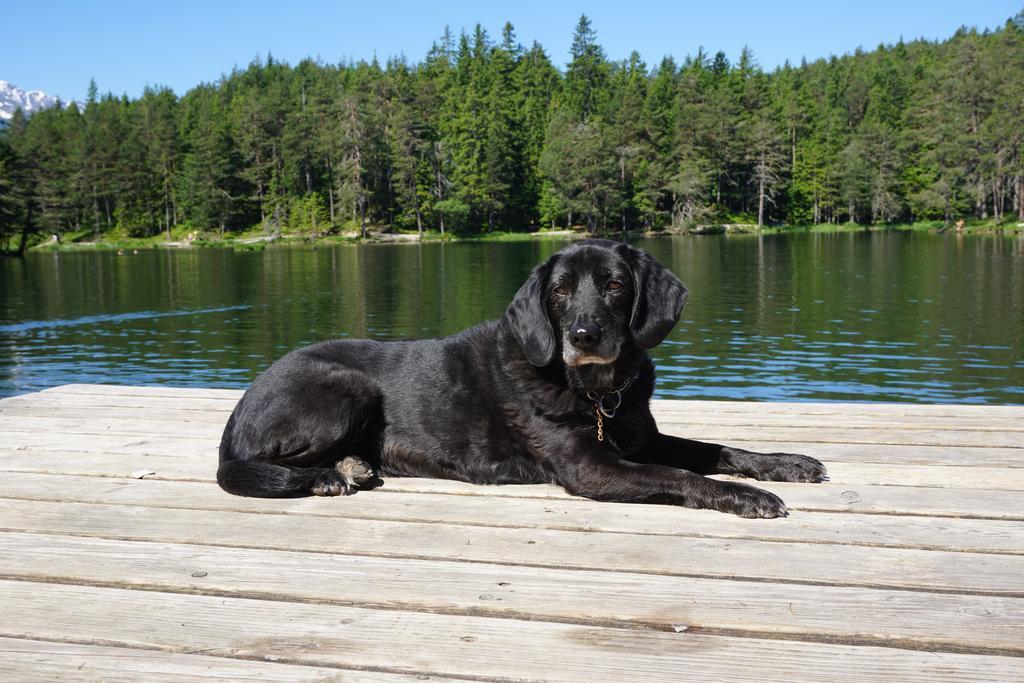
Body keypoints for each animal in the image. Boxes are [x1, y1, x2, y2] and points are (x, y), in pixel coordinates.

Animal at [216, 237, 823, 516]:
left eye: (616, 285)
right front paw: (745, 495)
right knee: (250, 466)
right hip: (349, 387)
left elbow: (715, 448)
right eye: (558, 292)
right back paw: (326, 474)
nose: (583, 335)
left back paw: (351, 466)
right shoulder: (591, 469)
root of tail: (239, 408)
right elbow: (679, 475)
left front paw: (786, 463)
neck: (598, 394)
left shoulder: (640, 437)